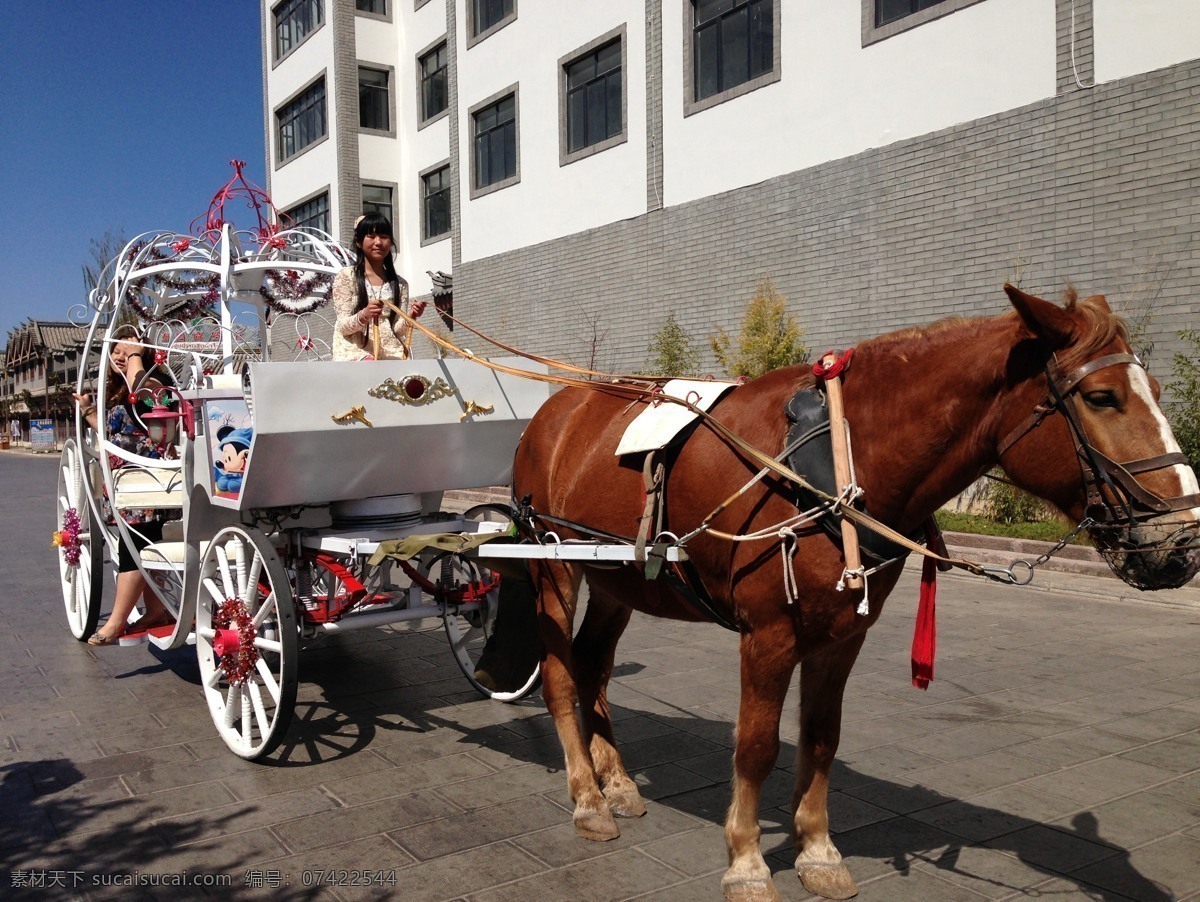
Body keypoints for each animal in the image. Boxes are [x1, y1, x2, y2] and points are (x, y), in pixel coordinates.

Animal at [511, 285, 1200, 897]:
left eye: (1157, 393)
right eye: (1102, 397)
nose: (1184, 541)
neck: (839, 458)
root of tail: (555, 411)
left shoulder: (842, 635)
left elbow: (822, 737)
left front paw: (817, 850)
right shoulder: (768, 635)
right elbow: (756, 746)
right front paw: (747, 862)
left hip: (617, 575)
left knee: (594, 664)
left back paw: (618, 782)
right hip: (553, 561)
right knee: (561, 673)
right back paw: (586, 796)